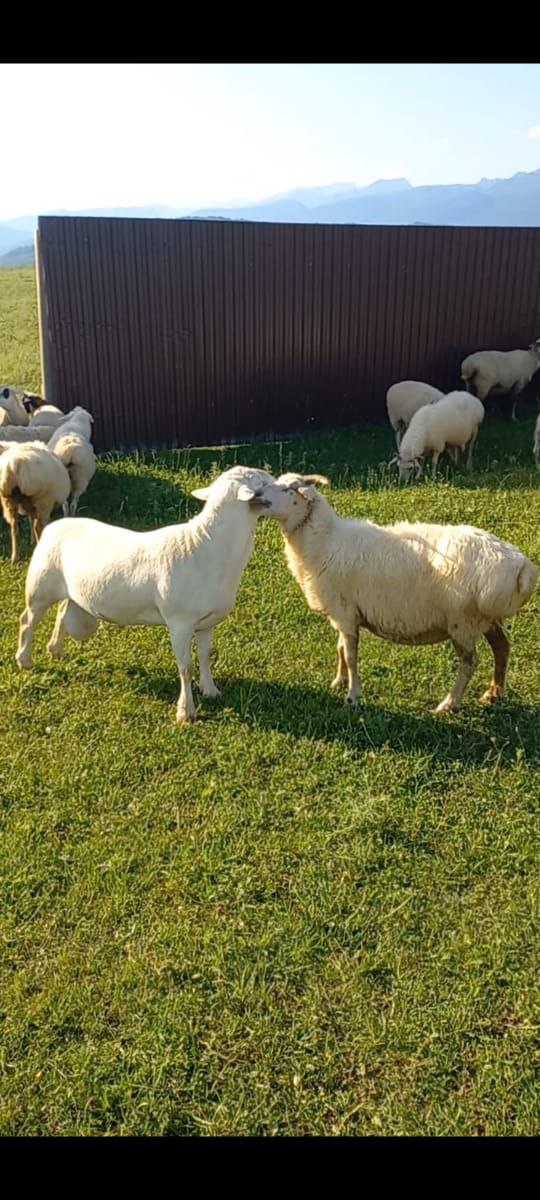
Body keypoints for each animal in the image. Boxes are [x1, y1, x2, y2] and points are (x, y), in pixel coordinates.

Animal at [16, 466, 285, 724]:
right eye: (264, 483)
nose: (289, 487)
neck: (208, 545)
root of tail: (53, 526)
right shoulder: (180, 622)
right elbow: (186, 667)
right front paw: (186, 712)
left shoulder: (206, 623)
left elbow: (205, 656)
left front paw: (210, 690)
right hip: (41, 586)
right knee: (28, 621)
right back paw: (24, 660)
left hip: (72, 593)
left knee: (62, 612)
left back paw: (55, 650)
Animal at [271, 473, 537, 714]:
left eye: (289, 489)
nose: (261, 498)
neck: (323, 540)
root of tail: (521, 566)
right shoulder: (342, 612)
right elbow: (341, 650)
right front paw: (339, 682)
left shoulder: (345, 613)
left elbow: (350, 655)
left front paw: (353, 695)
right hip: (483, 618)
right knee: (502, 647)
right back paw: (494, 694)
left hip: (462, 621)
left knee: (470, 662)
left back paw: (448, 704)